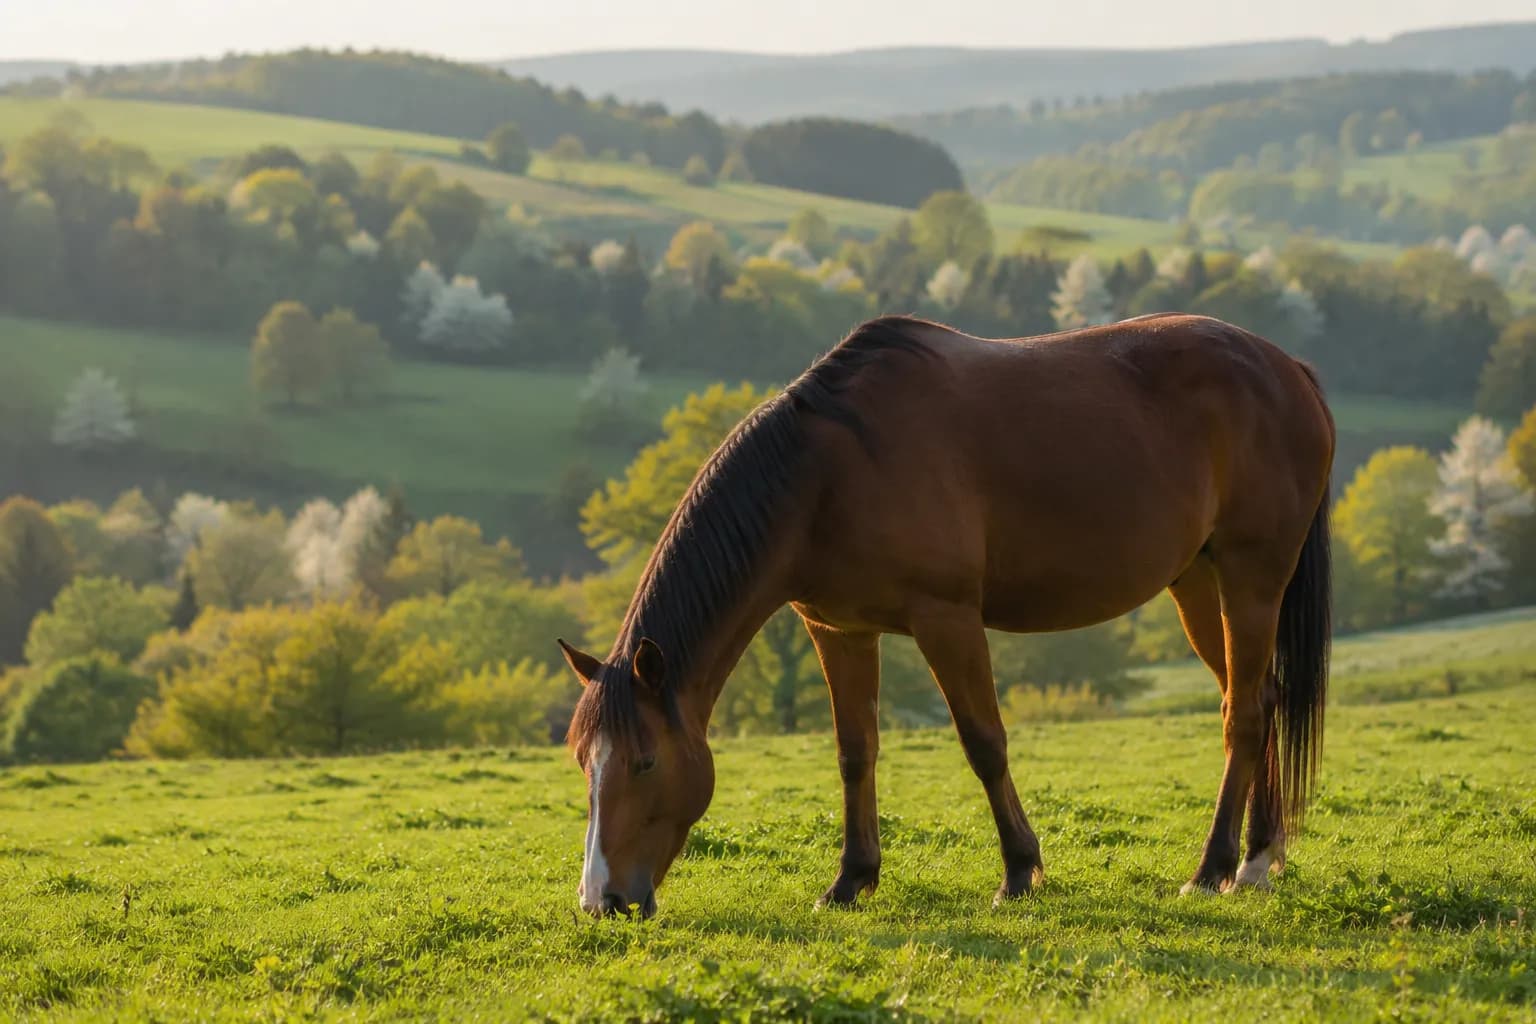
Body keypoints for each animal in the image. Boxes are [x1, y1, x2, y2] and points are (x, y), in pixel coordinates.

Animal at [559, 312, 1333, 918]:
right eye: (583, 762)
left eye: (645, 760)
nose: (603, 900)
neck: (829, 473)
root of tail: (1289, 369)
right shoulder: (839, 630)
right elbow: (855, 751)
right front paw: (851, 880)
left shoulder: (947, 619)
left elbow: (983, 741)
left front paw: (1019, 872)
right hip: (1198, 586)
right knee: (1257, 699)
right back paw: (1260, 857)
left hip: (1251, 580)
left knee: (1245, 715)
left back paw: (1216, 868)